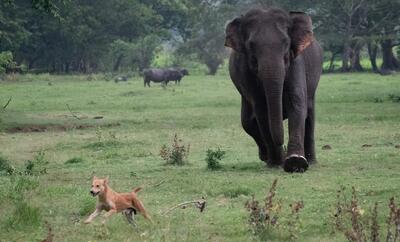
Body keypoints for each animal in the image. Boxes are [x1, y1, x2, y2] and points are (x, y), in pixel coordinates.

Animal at [223, 7, 324, 172]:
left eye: (286, 43)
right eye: (251, 45)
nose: (282, 147)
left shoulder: (296, 61)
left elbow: (296, 103)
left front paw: (295, 162)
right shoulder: (246, 71)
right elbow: (262, 109)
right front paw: (277, 163)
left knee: (310, 115)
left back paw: (311, 161)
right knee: (247, 122)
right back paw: (266, 157)